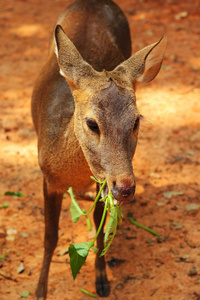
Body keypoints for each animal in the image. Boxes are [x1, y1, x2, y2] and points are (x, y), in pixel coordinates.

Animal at [30, 0, 166, 298]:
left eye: (136, 120)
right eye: (92, 123)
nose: (125, 187)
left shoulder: (102, 183)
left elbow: (101, 226)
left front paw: (102, 281)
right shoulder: (47, 178)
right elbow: (49, 237)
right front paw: (39, 290)